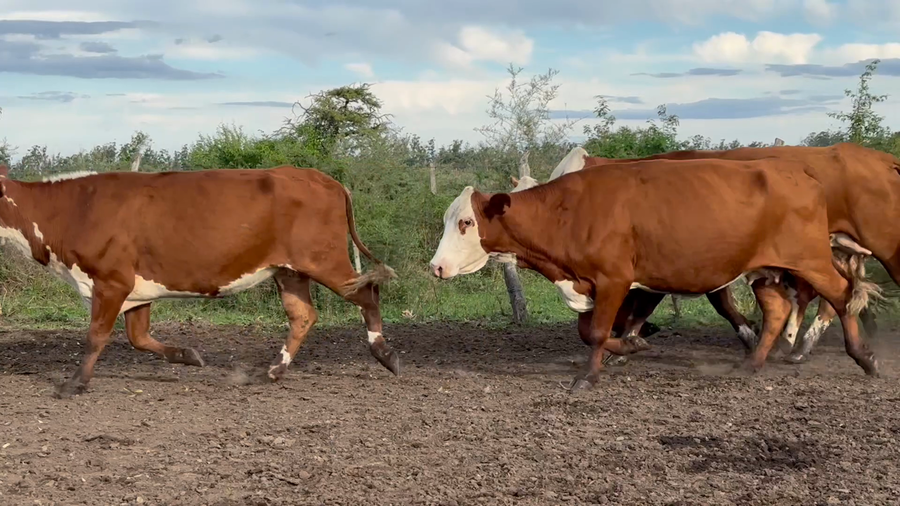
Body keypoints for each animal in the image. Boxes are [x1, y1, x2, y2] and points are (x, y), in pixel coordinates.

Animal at [0, 164, 401, 398]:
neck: (72, 210)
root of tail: (324, 178)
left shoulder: (111, 282)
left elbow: (96, 336)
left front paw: (75, 383)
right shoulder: (136, 289)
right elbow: (138, 337)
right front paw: (188, 356)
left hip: (324, 260)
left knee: (367, 293)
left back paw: (385, 354)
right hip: (289, 271)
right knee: (303, 315)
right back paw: (273, 371)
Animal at [429, 157, 880, 392]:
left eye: (466, 222)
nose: (436, 266)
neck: (571, 212)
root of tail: (801, 176)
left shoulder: (614, 279)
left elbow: (596, 332)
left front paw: (588, 377)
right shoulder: (593, 283)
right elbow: (590, 330)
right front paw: (632, 346)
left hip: (810, 260)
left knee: (842, 295)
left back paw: (864, 357)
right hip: (763, 269)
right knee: (776, 308)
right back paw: (752, 364)